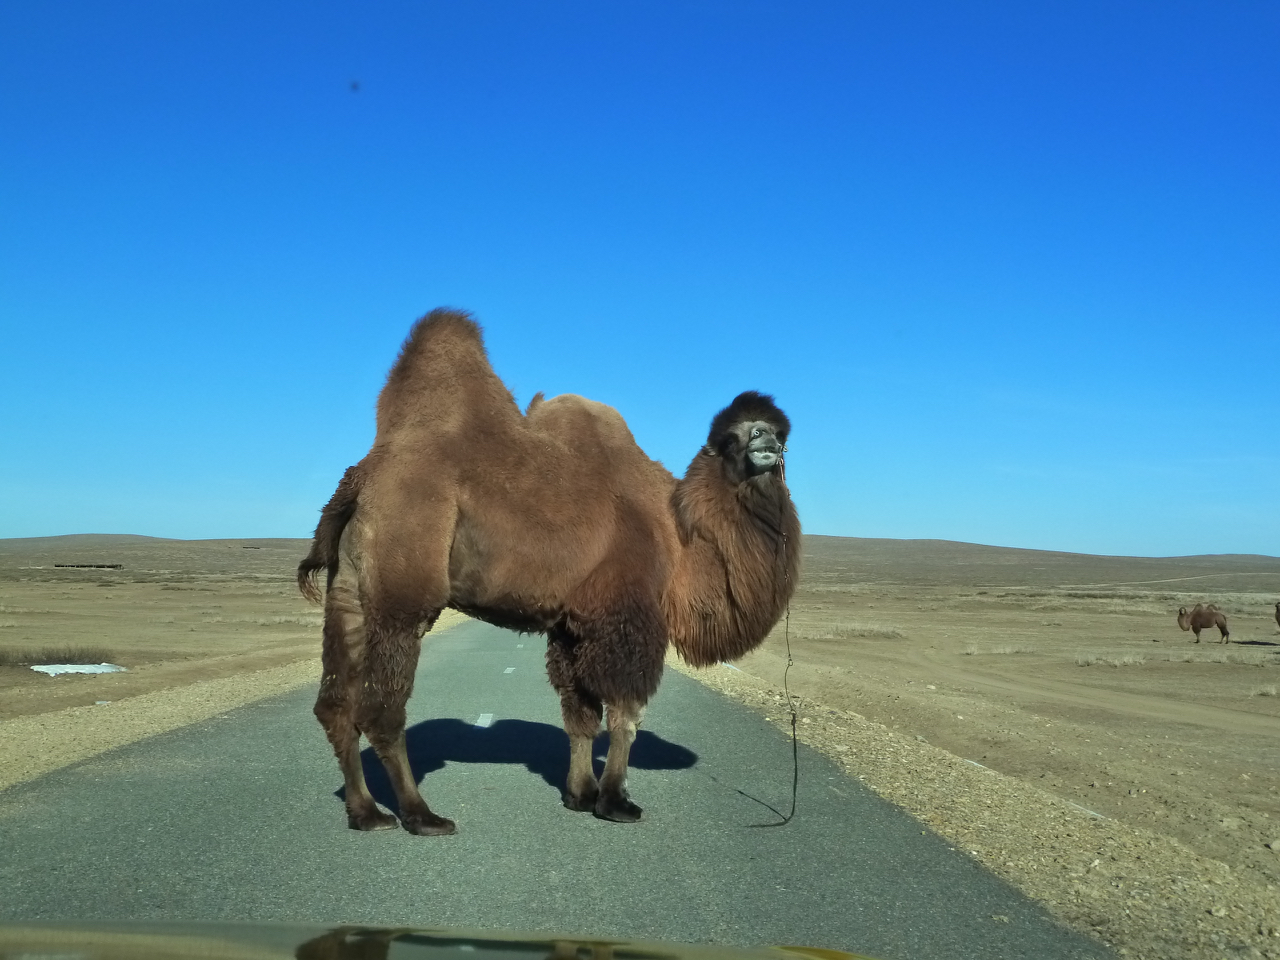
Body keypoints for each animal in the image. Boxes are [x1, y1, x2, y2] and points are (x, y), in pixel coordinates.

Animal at [299, 312, 798, 839]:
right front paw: (615, 801)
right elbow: (626, 713)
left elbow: (579, 712)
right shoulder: (627, 613)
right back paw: (421, 816)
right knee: (381, 711)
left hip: (348, 594)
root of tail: (359, 481)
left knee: (336, 707)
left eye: (777, 431)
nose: (770, 444)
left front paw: (579, 794)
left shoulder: (573, 623)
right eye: (743, 433)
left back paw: (366, 813)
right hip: (403, 593)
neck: (677, 530)